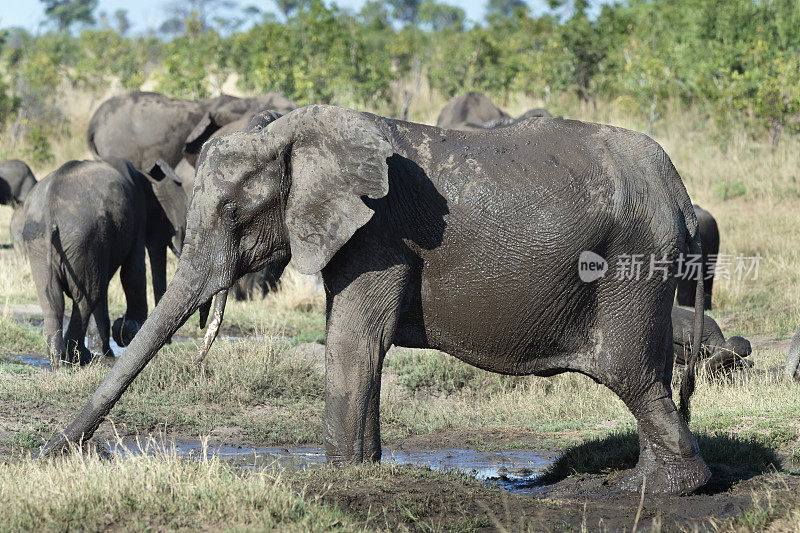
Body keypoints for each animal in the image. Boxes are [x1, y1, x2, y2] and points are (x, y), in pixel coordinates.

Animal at [21, 158, 187, 366]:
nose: (169, 342)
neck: (144, 175)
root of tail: (50, 213)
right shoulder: (136, 212)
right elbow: (133, 272)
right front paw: (127, 331)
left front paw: (107, 349)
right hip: (81, 238)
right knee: (86, 296)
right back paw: (76, 359)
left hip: (41, 244)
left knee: (53, 298)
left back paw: (61, 361)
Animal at [40, 105, 708, 494]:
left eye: (233, 212)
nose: (52, 452)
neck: (297, 133)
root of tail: (678, 189)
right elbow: (357, 340)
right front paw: (366, 468)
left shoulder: (379, 231)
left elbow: (353, 338)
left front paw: (338, 475)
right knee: (645, 374)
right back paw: (648, 481)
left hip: (632, 261)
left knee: (628, 370)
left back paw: (666, 490)